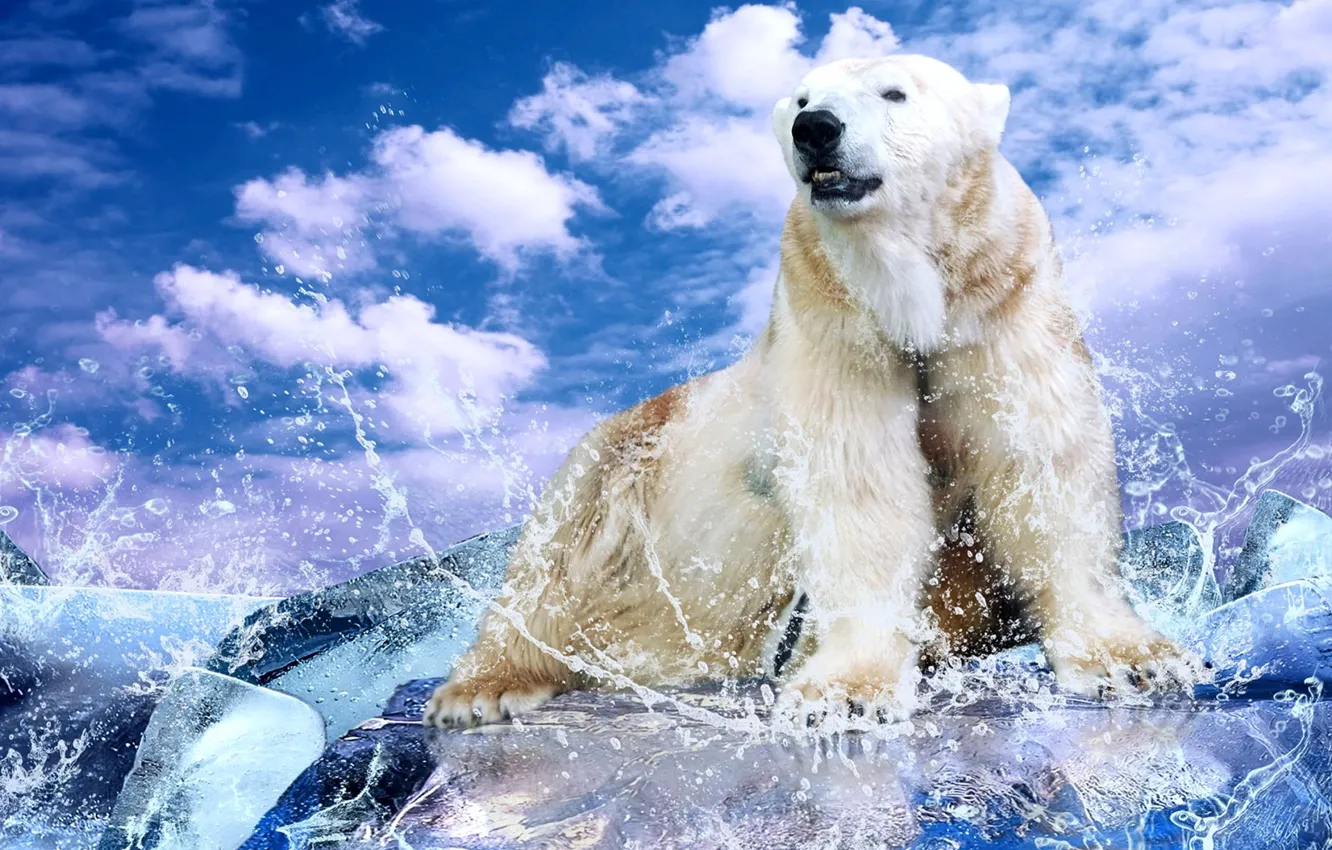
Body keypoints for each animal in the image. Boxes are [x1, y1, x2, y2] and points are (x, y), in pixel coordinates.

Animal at [424, 53, 1205, 731]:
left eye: (894, 92)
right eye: (801, 99)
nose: (816, 128)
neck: (907, 297)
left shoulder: (1002, 296)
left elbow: (1040, 460)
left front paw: (1135, 662)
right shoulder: (831, 318)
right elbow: (856, 481)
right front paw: (845, 694)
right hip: (620, 459)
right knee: (552, 557)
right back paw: (484, 689)